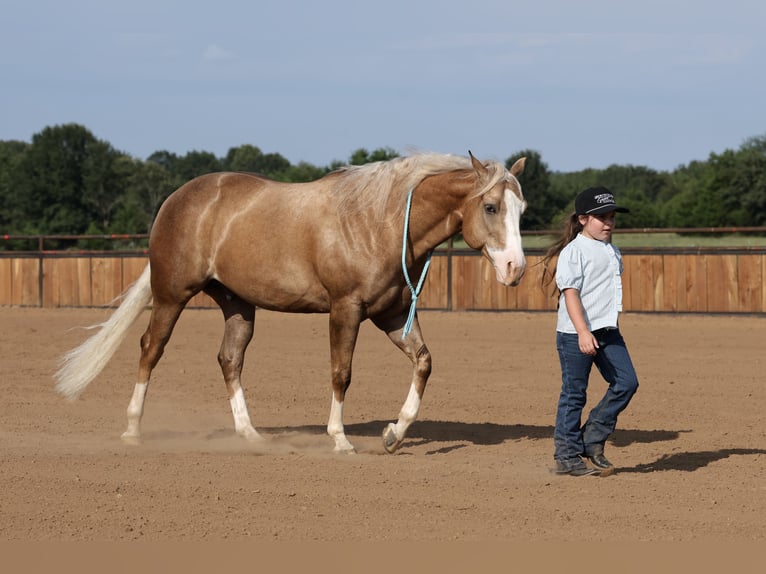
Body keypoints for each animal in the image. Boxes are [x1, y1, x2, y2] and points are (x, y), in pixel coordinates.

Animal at [54, 151, 527, 454]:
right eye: (490, 206)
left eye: (520, 209)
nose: (515, 268)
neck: (382, 221)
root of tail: (176, 198)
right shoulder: (346, 310)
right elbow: (341, 373)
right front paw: (339, 438)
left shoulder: (391, 314)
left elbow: (424, 362)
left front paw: (394, 434)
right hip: (172, 295)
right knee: (150, 349)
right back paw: (133, 429)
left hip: (238, 305)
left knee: (229, 359)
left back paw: (250, 435)